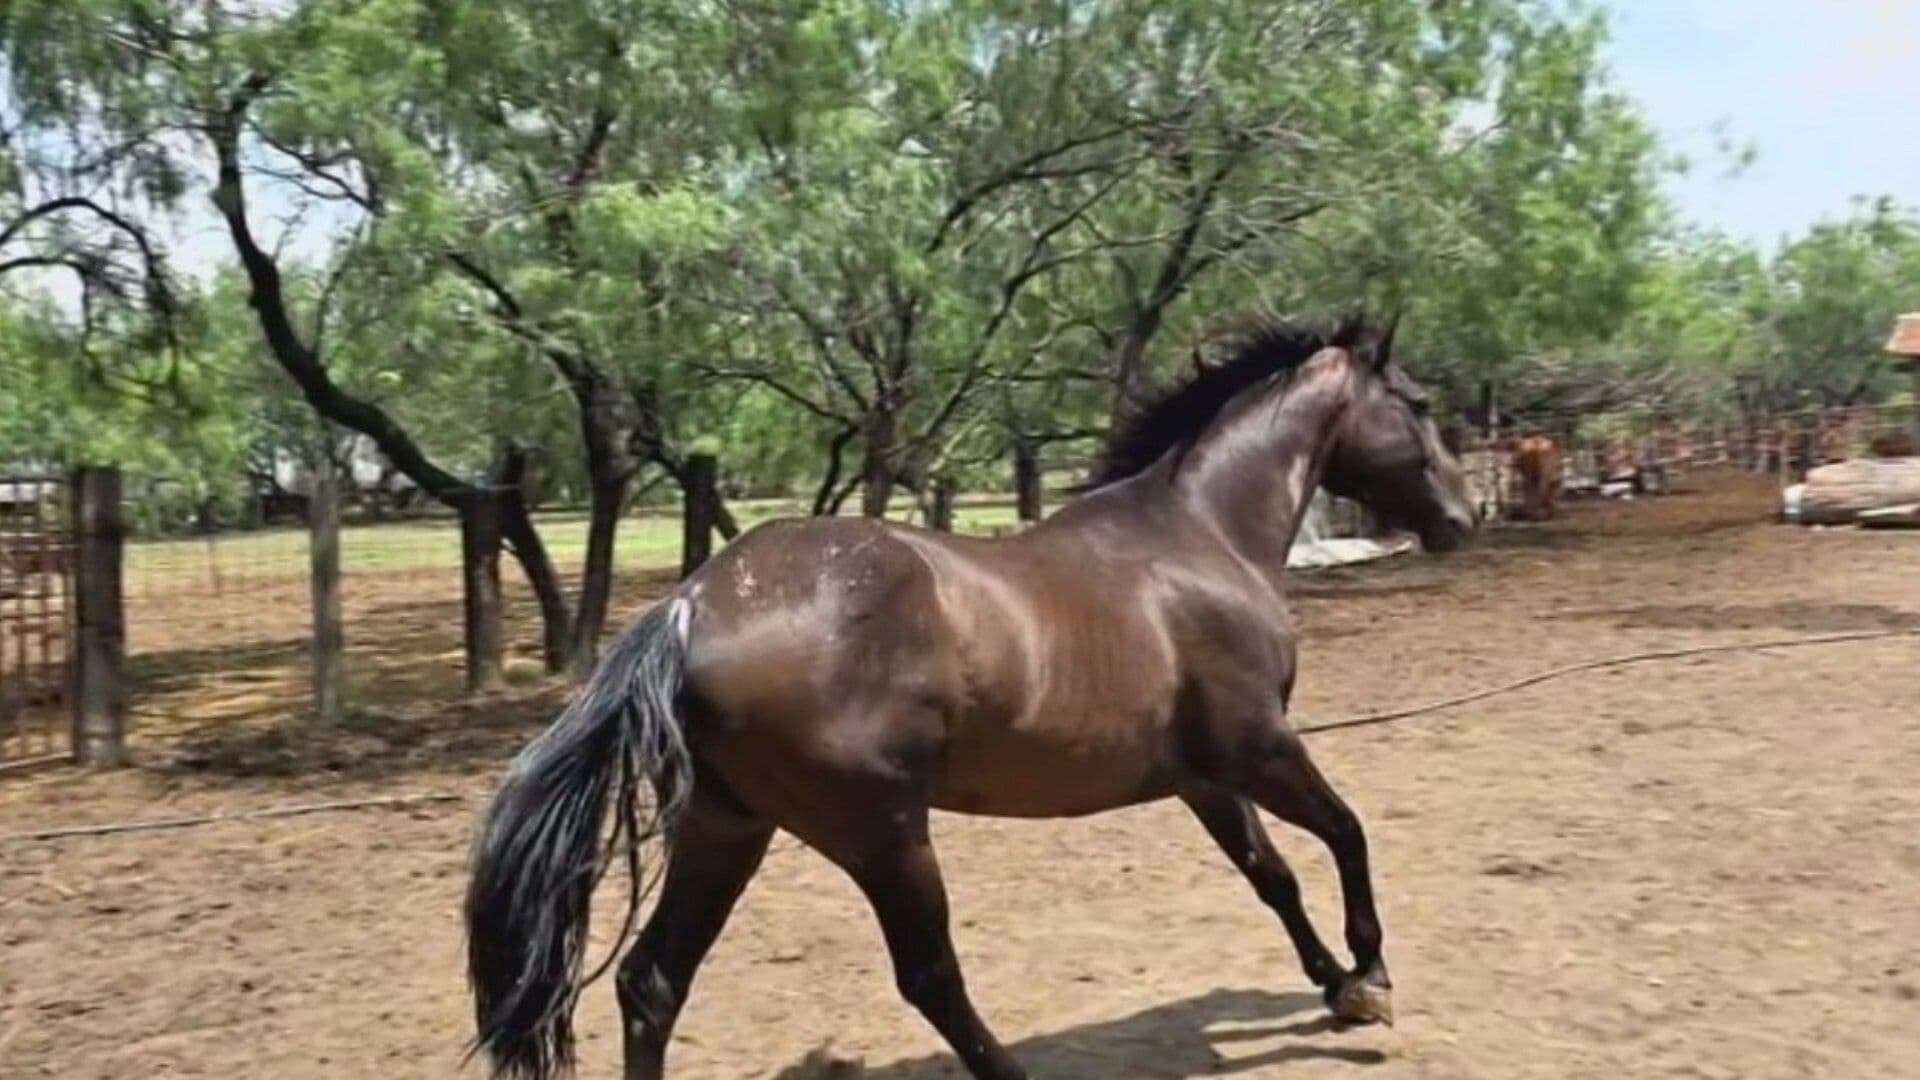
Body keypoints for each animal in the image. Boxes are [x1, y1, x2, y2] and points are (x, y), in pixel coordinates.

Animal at [464, 317, 1480, 1080]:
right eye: (1421, 405)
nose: (1465, 519)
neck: (1200, 538)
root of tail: (689, 606)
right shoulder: (1261, 746)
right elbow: (1347, 834)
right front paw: (1372, 975)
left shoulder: (1203, 776)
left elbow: (1272, 875)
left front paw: (1337, 987)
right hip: (883, 834)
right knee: (929, 978)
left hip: (728, 826)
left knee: (652, 984)